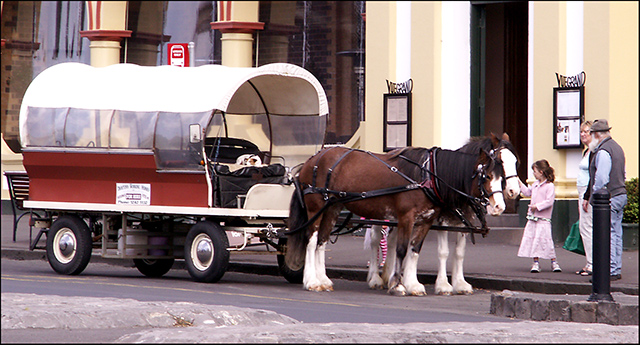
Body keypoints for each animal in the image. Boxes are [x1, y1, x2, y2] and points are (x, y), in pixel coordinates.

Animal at [284, 141, 504, 294]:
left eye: (501, 176)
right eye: (487, 176)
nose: (499, 207)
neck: (428, 176)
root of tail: (312, 160)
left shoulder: (426, 220)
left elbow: (414, 250)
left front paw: (413, 284)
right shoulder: (406, 217)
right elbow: (401, 249)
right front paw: (398, 285)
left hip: (332, 208)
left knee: (322, 242)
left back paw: (323, 280)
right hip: (315, 208)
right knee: (311, 241)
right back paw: (311, 281)